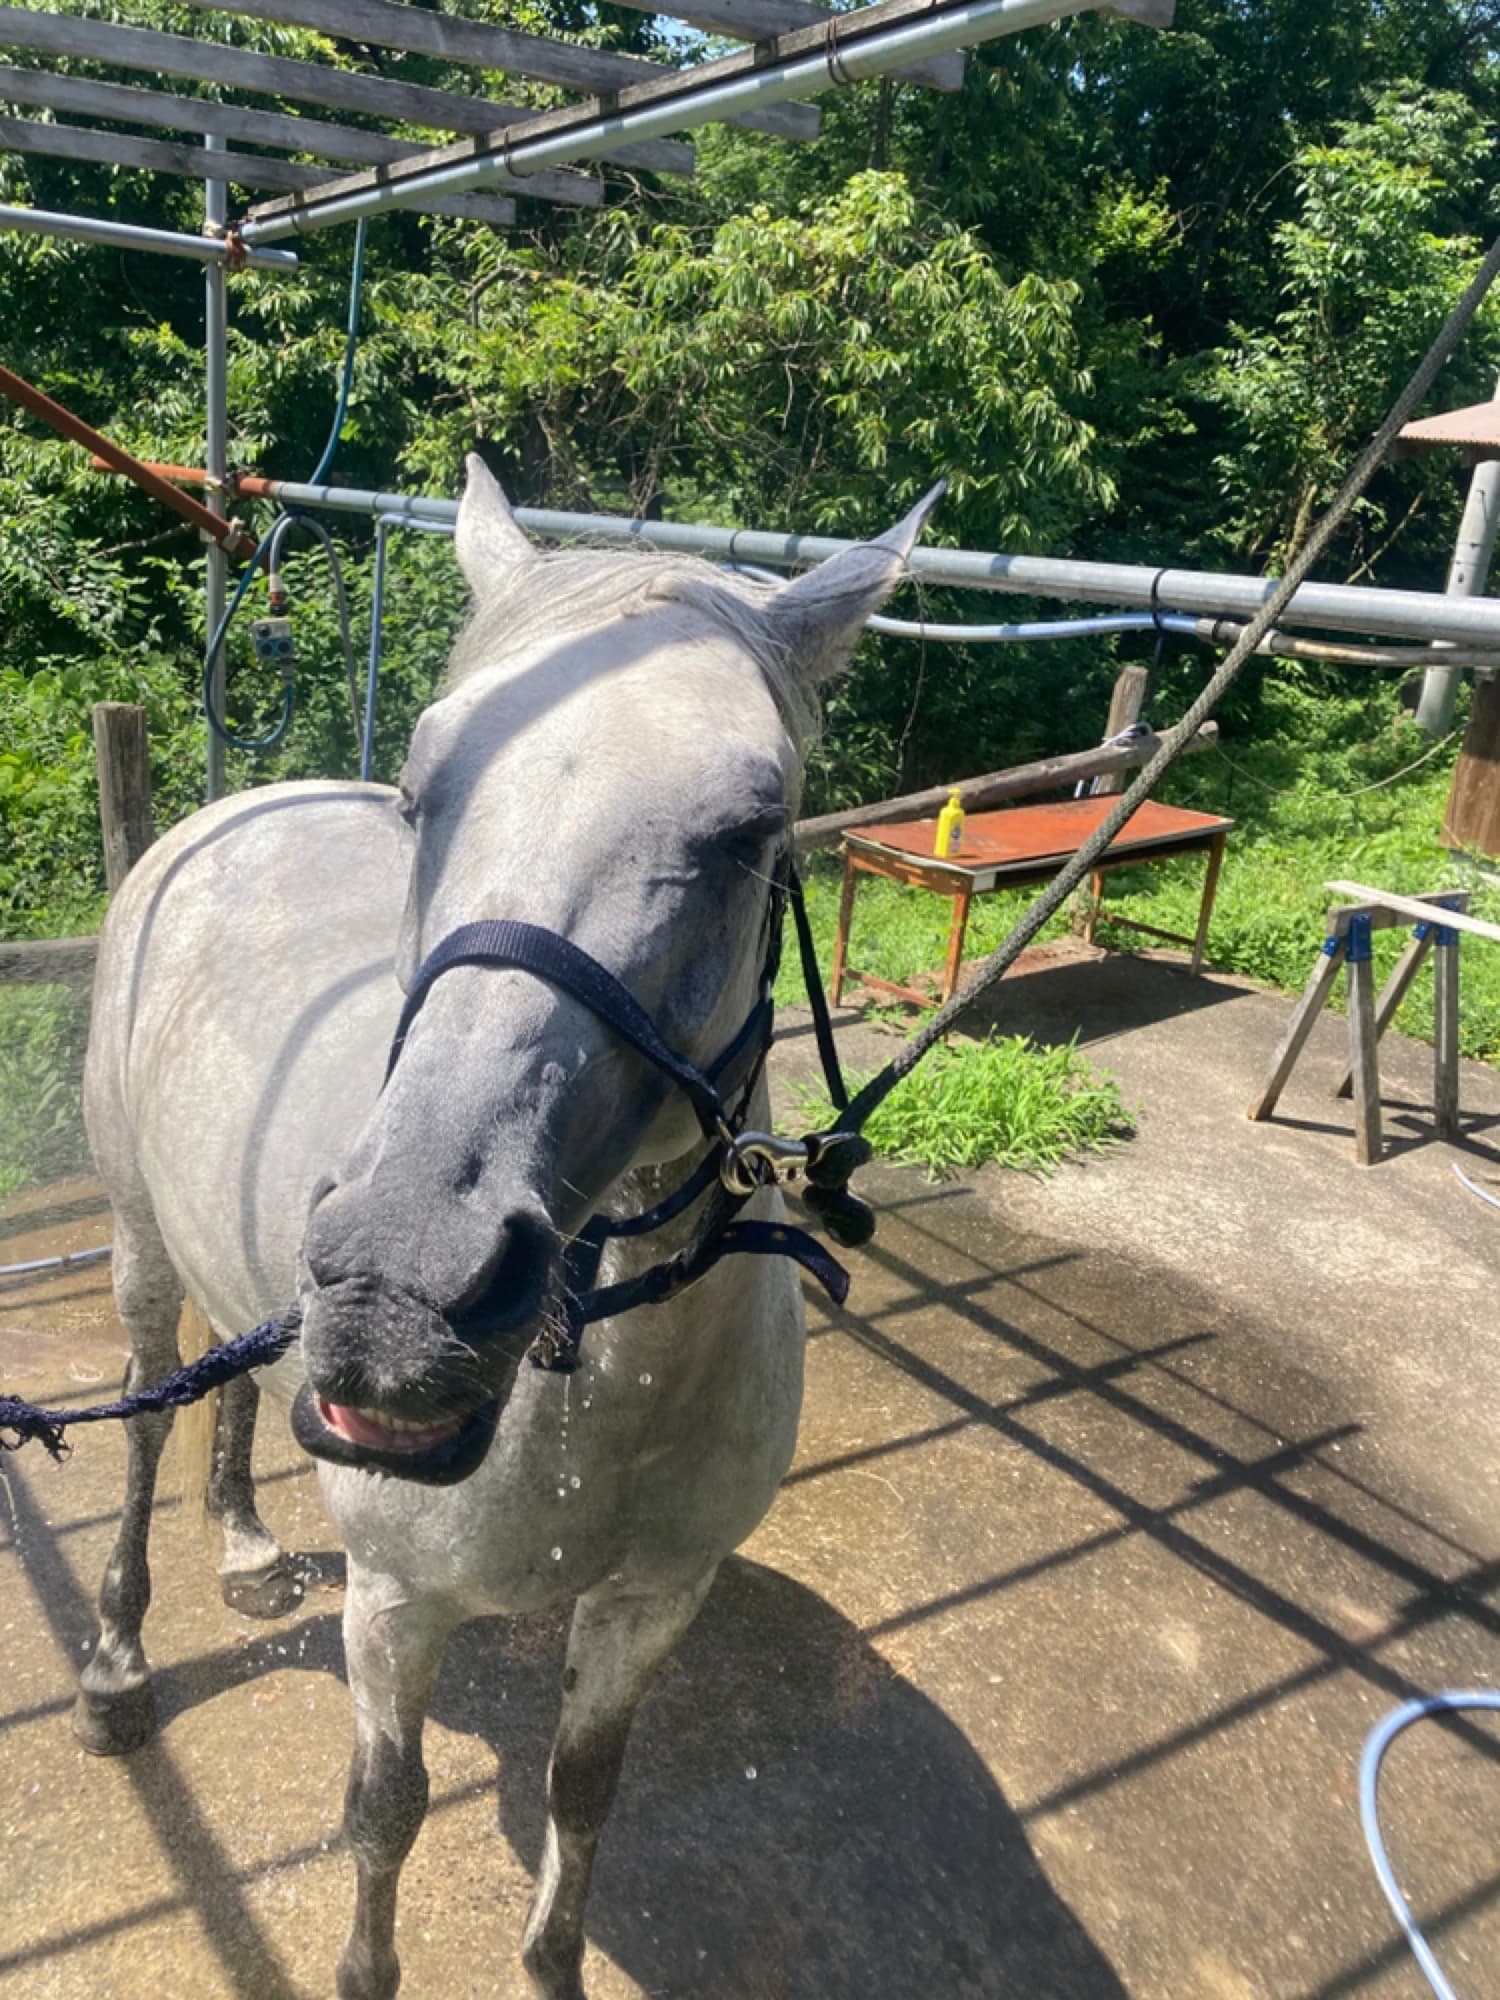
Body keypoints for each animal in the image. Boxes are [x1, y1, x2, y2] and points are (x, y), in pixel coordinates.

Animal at [76, 456, 944, 1998]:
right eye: (424, 791)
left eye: (751, 833)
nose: (402, 1289)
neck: (604, 1377)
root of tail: (228, 811)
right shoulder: (394, 1607)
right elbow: (385, 1813)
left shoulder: (649, 1603)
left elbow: (579, 1801)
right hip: (137, 1250)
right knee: (141, 1416)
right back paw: (120, 1664)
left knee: (233, 1386)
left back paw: (243, 1546)